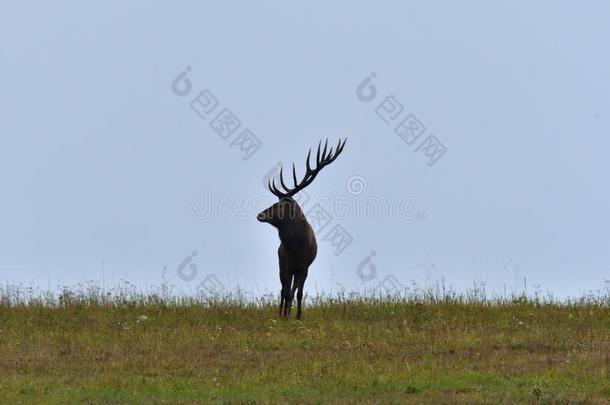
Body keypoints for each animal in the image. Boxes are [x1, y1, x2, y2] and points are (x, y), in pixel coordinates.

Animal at [254, 139, 344, 318]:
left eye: (279, 205)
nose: (260, 214)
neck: (296, 247)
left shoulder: (304, 268)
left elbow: (299, 293)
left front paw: (298, 316)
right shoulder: (286, 266)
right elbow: (286, 292)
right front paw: (284, 316)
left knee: (292, 290)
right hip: (281, 267)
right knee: (283, 291)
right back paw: (281, 313)